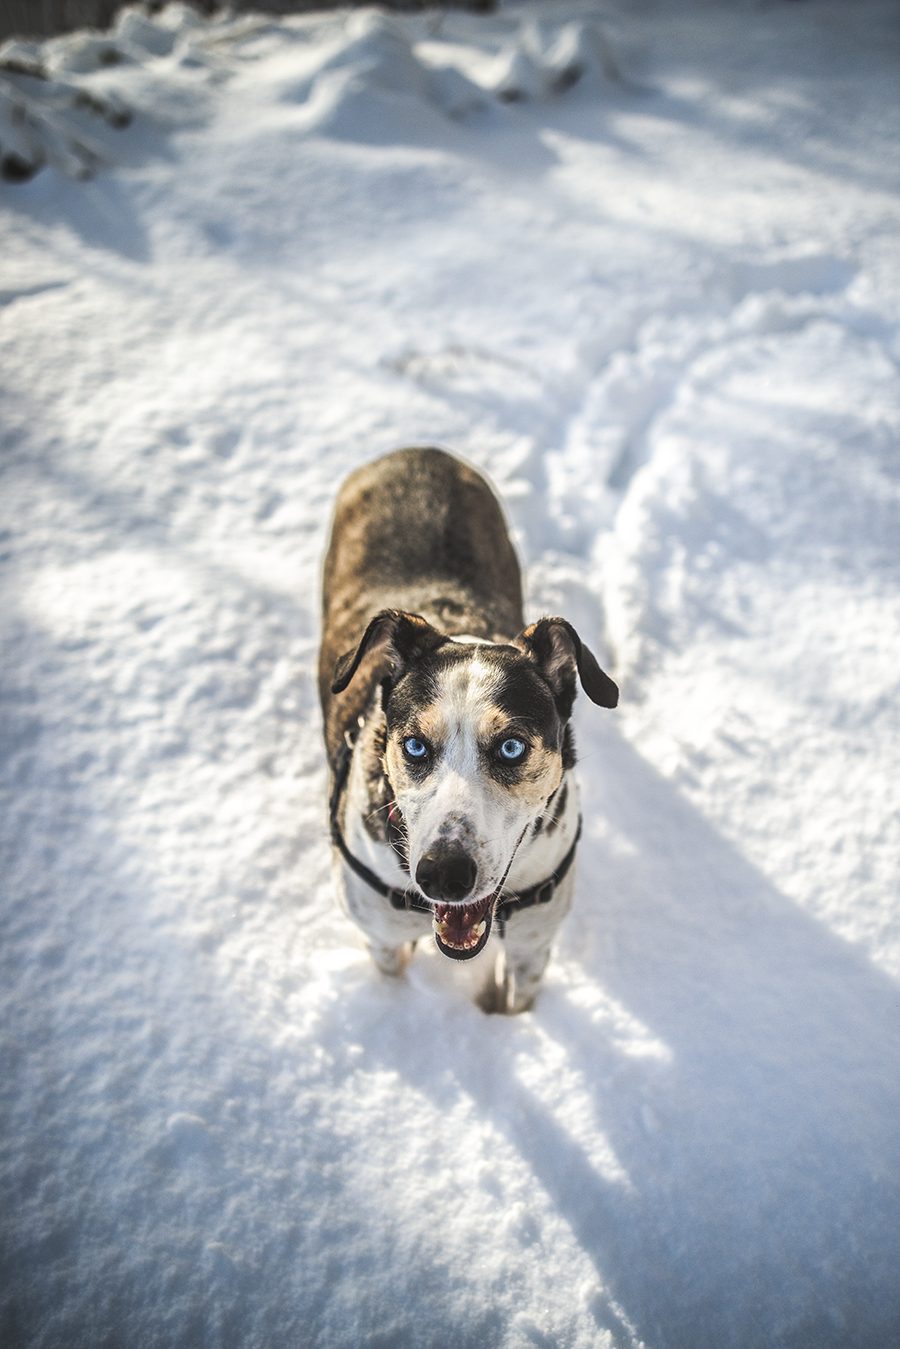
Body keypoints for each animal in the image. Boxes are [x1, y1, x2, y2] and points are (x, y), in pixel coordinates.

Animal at [318, 450, 620, 1014]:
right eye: (415, 745)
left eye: (511, 747)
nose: (443, 874)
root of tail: (416, 450)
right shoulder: (381, 937)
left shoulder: (531, 947)